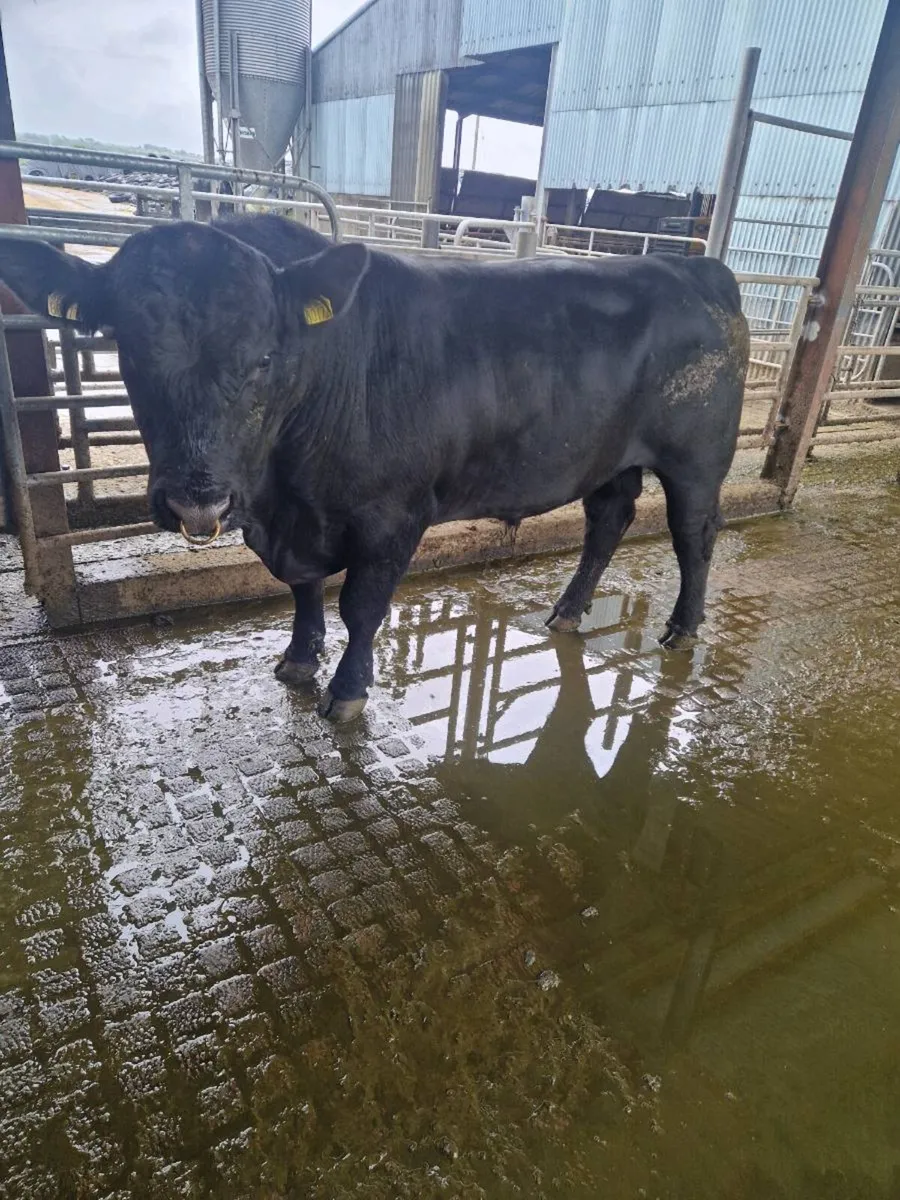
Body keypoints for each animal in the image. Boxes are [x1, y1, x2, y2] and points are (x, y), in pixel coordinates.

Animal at [0, 215, 749, 722]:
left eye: (265, 357)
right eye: (126, 349)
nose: (197, 503)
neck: (284, 494)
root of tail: (696, 271)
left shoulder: (393, 515)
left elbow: (361, 605)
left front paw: (347, 692)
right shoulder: (292, 525)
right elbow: (303, 590)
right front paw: (299, 661)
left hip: (697, 458)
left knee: (694, 535)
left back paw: (682, 627)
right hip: (608, 457)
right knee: (607, 521)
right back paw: (566, 611)